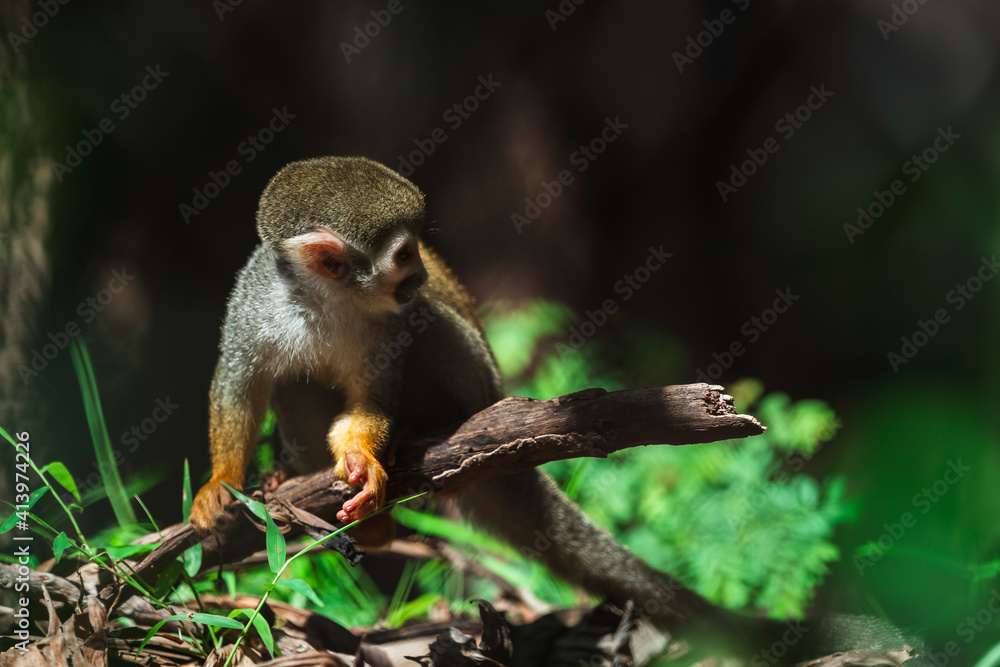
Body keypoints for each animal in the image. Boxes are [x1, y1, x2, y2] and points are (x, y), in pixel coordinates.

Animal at [188, 158, 920, 664]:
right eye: (401, 255)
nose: (419, 274)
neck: (325, 301)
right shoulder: (256, 298)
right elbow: (238, 382)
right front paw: (220, 485)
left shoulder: (383, 326)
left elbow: (376, 395)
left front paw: (366, 457)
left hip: (482, 388)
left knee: (433, 325)